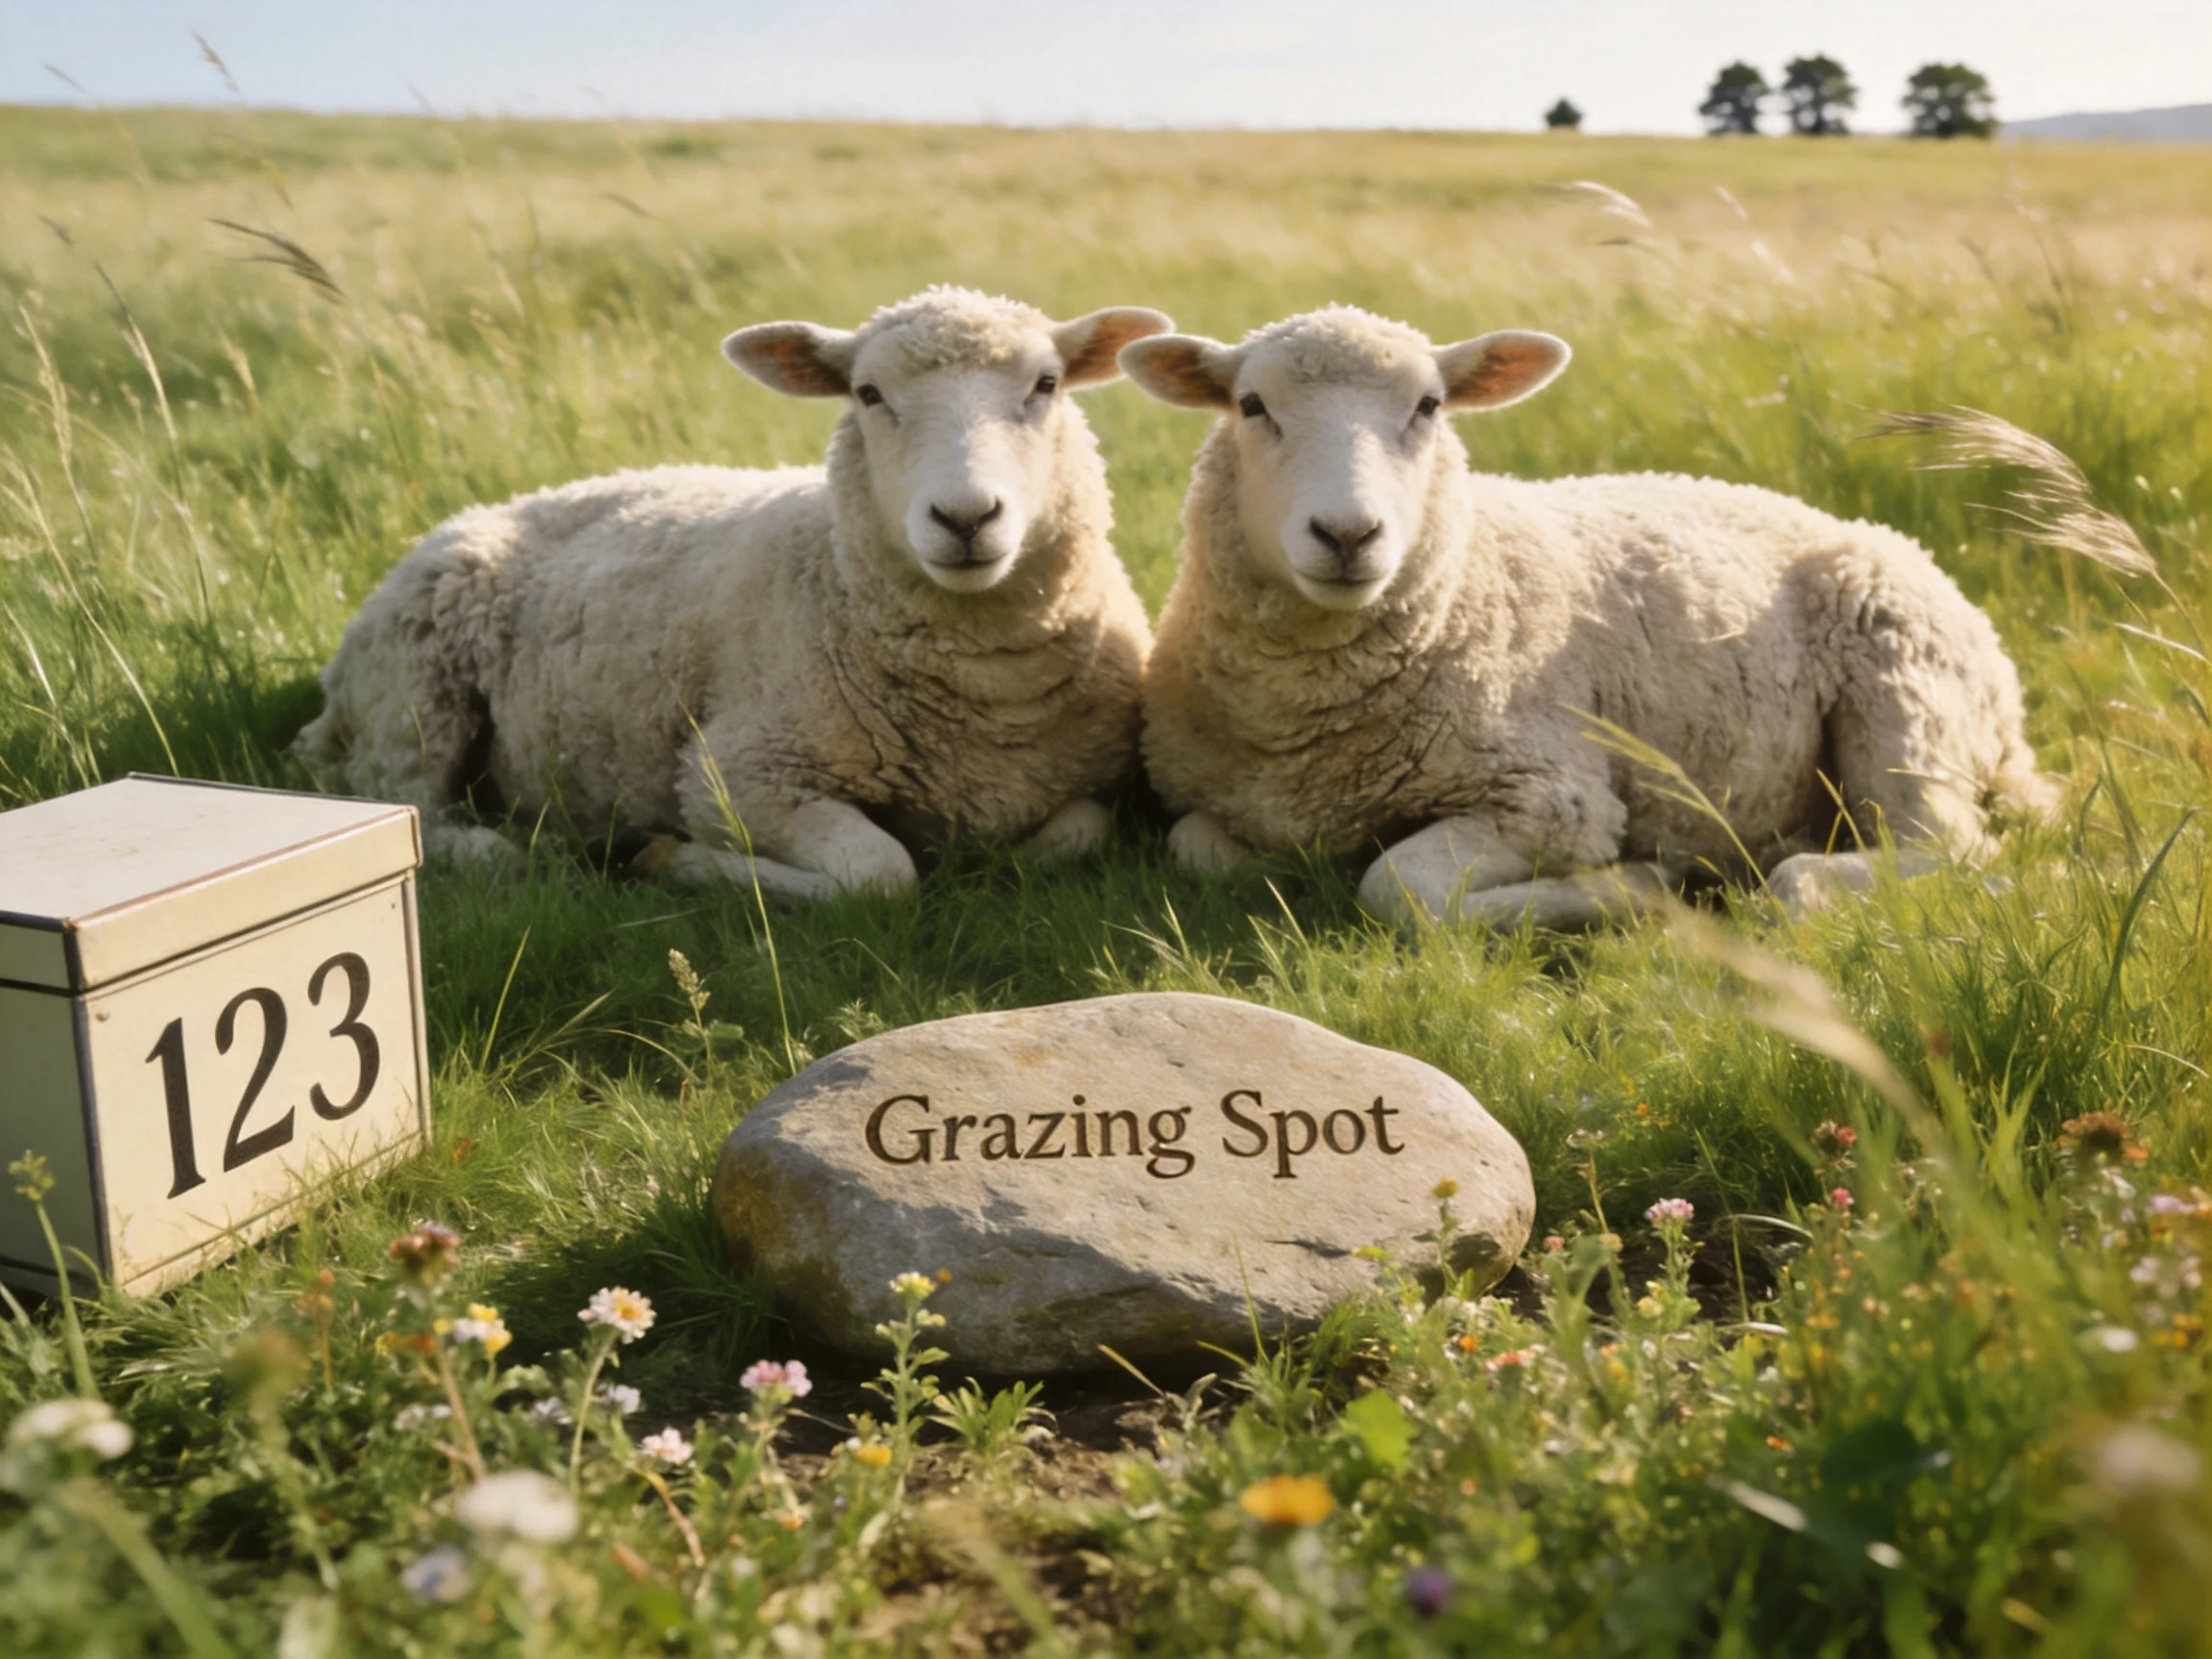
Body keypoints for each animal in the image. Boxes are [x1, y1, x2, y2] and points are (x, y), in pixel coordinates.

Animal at [295, 287, 1171, 899]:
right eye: (868, 394)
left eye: (1046, 384)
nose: (964, 517)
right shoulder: (740, 773)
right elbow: (878, 872)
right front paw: (669, 857)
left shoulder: (1092, 785)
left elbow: (1075, 837)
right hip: (416, 692)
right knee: (403, 798)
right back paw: (498, 848)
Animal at [1120, 306, 2059, 928]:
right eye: (1252, 406)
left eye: (1428, 407)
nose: (1349, 535)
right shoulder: (1221, 804)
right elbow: (1195, 850)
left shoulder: (1555, 796)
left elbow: (1404, 891)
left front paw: (1625, 888)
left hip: (1905, 694)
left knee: (1952, 849)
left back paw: (1797, 882)